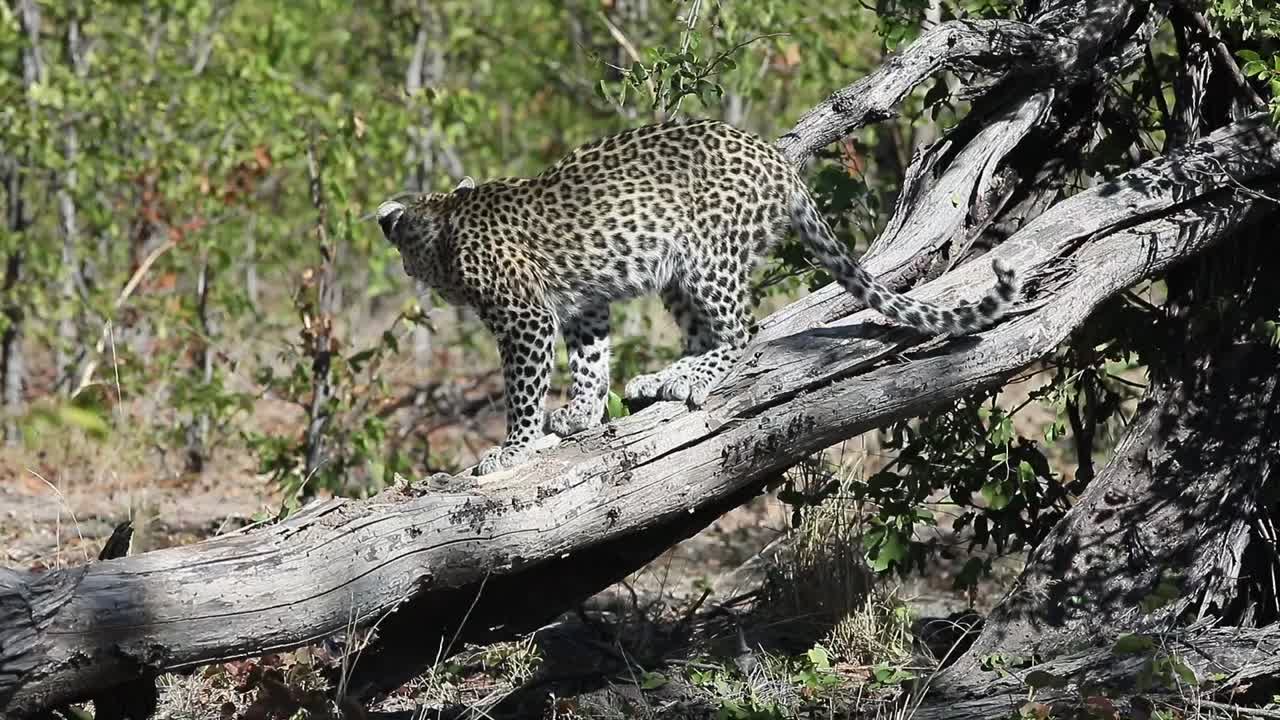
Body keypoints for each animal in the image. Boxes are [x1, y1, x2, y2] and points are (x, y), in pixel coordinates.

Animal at [375, 119, 1018, 476]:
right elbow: (590, 361)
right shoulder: (584, 304)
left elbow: (523, 391)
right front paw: (583, 411)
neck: (447, 229)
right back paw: (664, 377)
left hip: (707, 258)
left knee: (741, 332)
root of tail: (777, 160)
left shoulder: (524, 317)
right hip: (678, 277)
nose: (407, 270)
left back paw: (691, 378)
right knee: (705, 334)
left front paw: (511, 450)